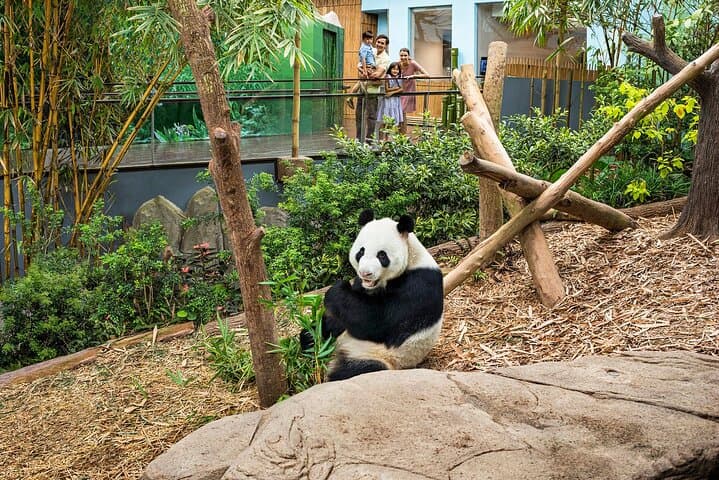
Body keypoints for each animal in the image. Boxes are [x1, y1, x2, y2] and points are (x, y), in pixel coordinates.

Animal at [317, 209, 444, 381]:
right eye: (361, 251)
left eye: (382, 256)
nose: (365, 273)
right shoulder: (362, 286)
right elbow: (346, 314)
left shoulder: (420, 284)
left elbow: (379, 323)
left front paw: (336, 290)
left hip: (379, 356)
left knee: (356, 370)